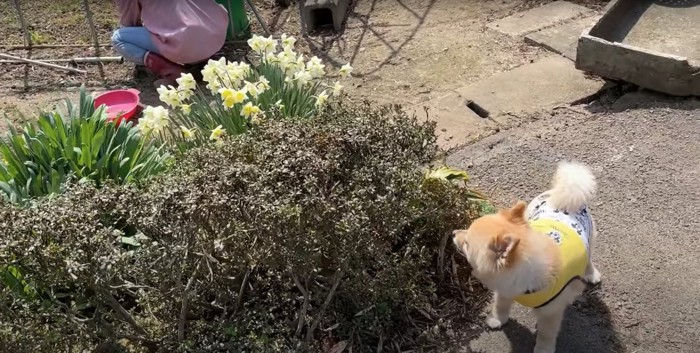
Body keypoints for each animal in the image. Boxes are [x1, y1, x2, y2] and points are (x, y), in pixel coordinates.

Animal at [454, 161, 600, 350]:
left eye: (466, 243)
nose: (453, 233)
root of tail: (565, 194)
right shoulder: (504, 290)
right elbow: (500, 306)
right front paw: (497, 320)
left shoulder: (551, 312)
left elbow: (546, 334)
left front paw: (543, 349)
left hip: (589, 239)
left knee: (588, 260)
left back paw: (591, 274)